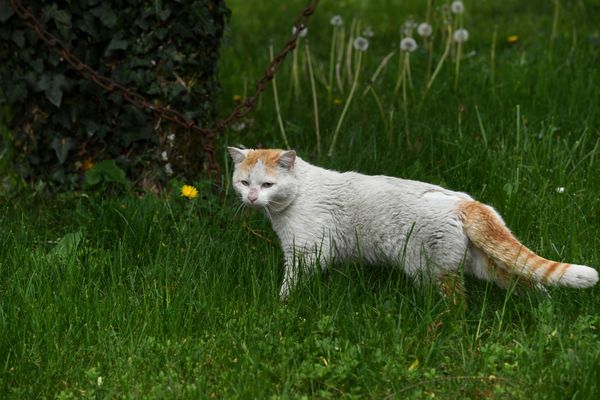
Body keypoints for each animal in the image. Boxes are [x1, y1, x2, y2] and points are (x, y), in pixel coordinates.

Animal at [227, 147, 596, 300]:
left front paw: (282, 307)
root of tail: (468, 202)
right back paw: (545, 315)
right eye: (245, 183)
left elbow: (289, 285)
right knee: (531, 283)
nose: (252, 199)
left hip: (435, 271)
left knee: (458, 305)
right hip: (484, 264)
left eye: (267, 185)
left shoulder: (306, 253)